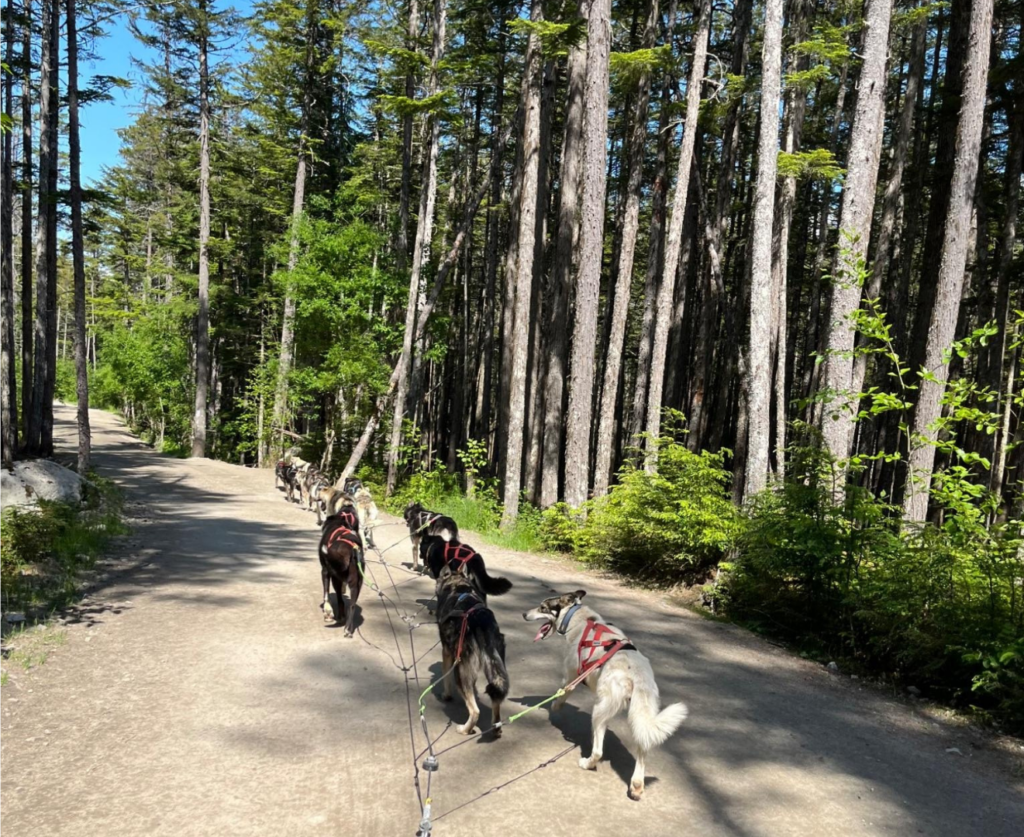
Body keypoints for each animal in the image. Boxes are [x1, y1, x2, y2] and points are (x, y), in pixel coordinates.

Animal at [434, 561, 509, 729]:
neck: (457, 584)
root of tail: (480, 620)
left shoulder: (446, 653)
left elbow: (445, 677)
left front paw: (446, 695)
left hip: (460, 674)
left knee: (475, 711)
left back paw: (465, 729)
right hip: (495, 670)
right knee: (496, 703)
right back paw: (495, 728)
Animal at [520, 586, 688, 794]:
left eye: (542, 607)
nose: (523, 614)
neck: (580, 619)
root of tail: (636, 673)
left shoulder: (571, 678)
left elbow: (560, 698)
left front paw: (555, 710)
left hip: (600, 711)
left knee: (599, 751)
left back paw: (587, 763)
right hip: (640, 714)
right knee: (642, 749)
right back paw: (636, 785)